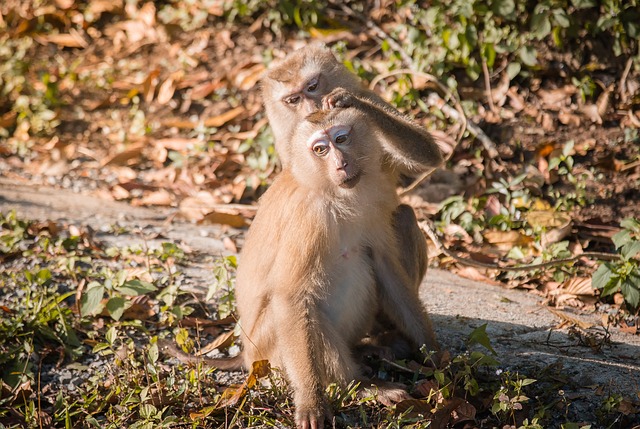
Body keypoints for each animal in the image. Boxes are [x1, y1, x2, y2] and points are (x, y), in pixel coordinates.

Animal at [238, 104, 438, 428]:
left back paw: (374, 349)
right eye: (320, 149)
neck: (334, 194)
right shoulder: (309, 218)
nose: (341, 164)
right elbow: (291, 297)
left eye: (341, 139)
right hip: (267, 355)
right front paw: (311, 401)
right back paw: (360, 385)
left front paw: (435, 356)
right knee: (310, 307)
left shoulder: (371, 210)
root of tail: (246, 356)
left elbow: (386, 269)